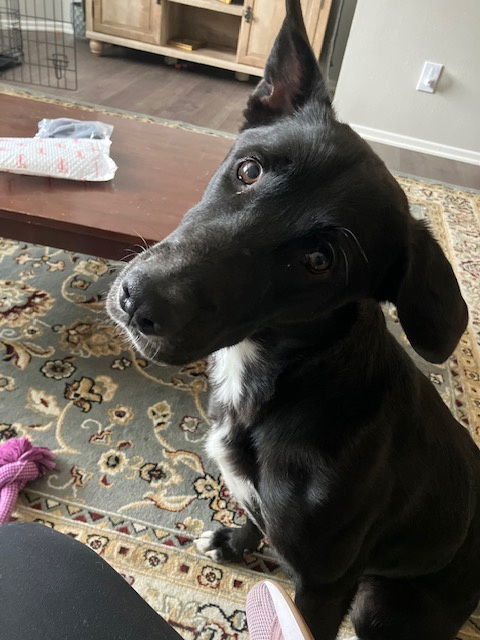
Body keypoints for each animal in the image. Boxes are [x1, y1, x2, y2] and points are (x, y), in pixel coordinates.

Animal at [108, 2, 480, 636]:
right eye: (248, 170)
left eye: (319, 260)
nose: (138, 301)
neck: (279, 379)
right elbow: (253, 519)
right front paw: (234, 544)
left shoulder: (325, 585)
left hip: (382, 607)